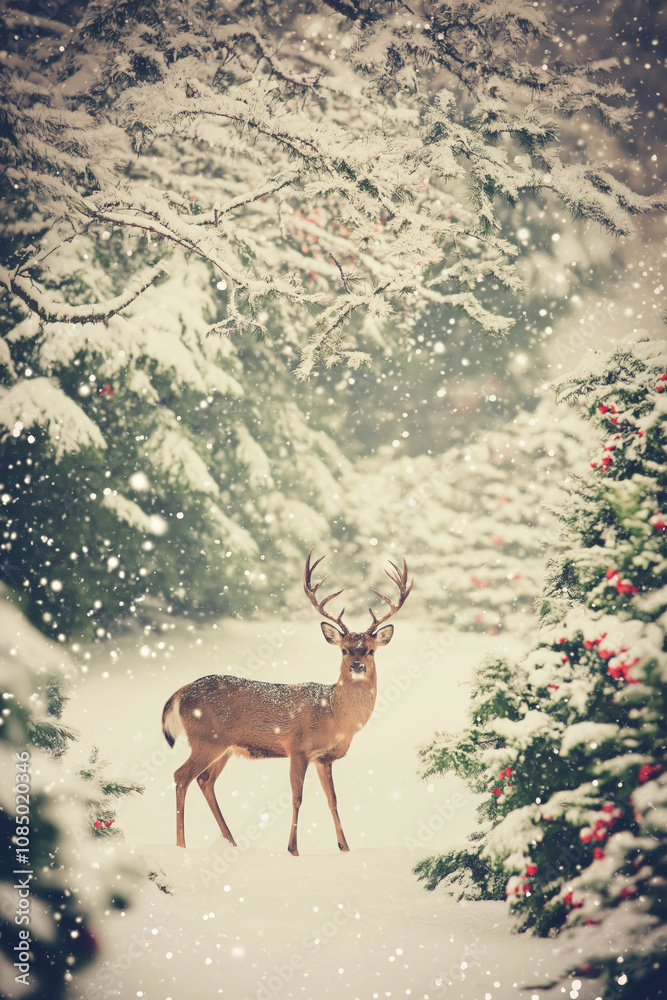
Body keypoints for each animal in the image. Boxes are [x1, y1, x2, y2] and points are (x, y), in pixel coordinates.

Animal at [161, 549, 412, 856]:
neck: (334, 716)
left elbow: (333, 799)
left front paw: (344, 847)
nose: (357, 666)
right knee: (181, 776)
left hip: (225, 747)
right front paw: (293, 849)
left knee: (205, 781)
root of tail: (180, 692)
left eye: (371, 651)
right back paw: (181, 846)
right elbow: (297, 797)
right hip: (206, 740)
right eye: (344, 650)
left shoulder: (324, 758)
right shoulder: (298, 748)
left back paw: (230, 842)